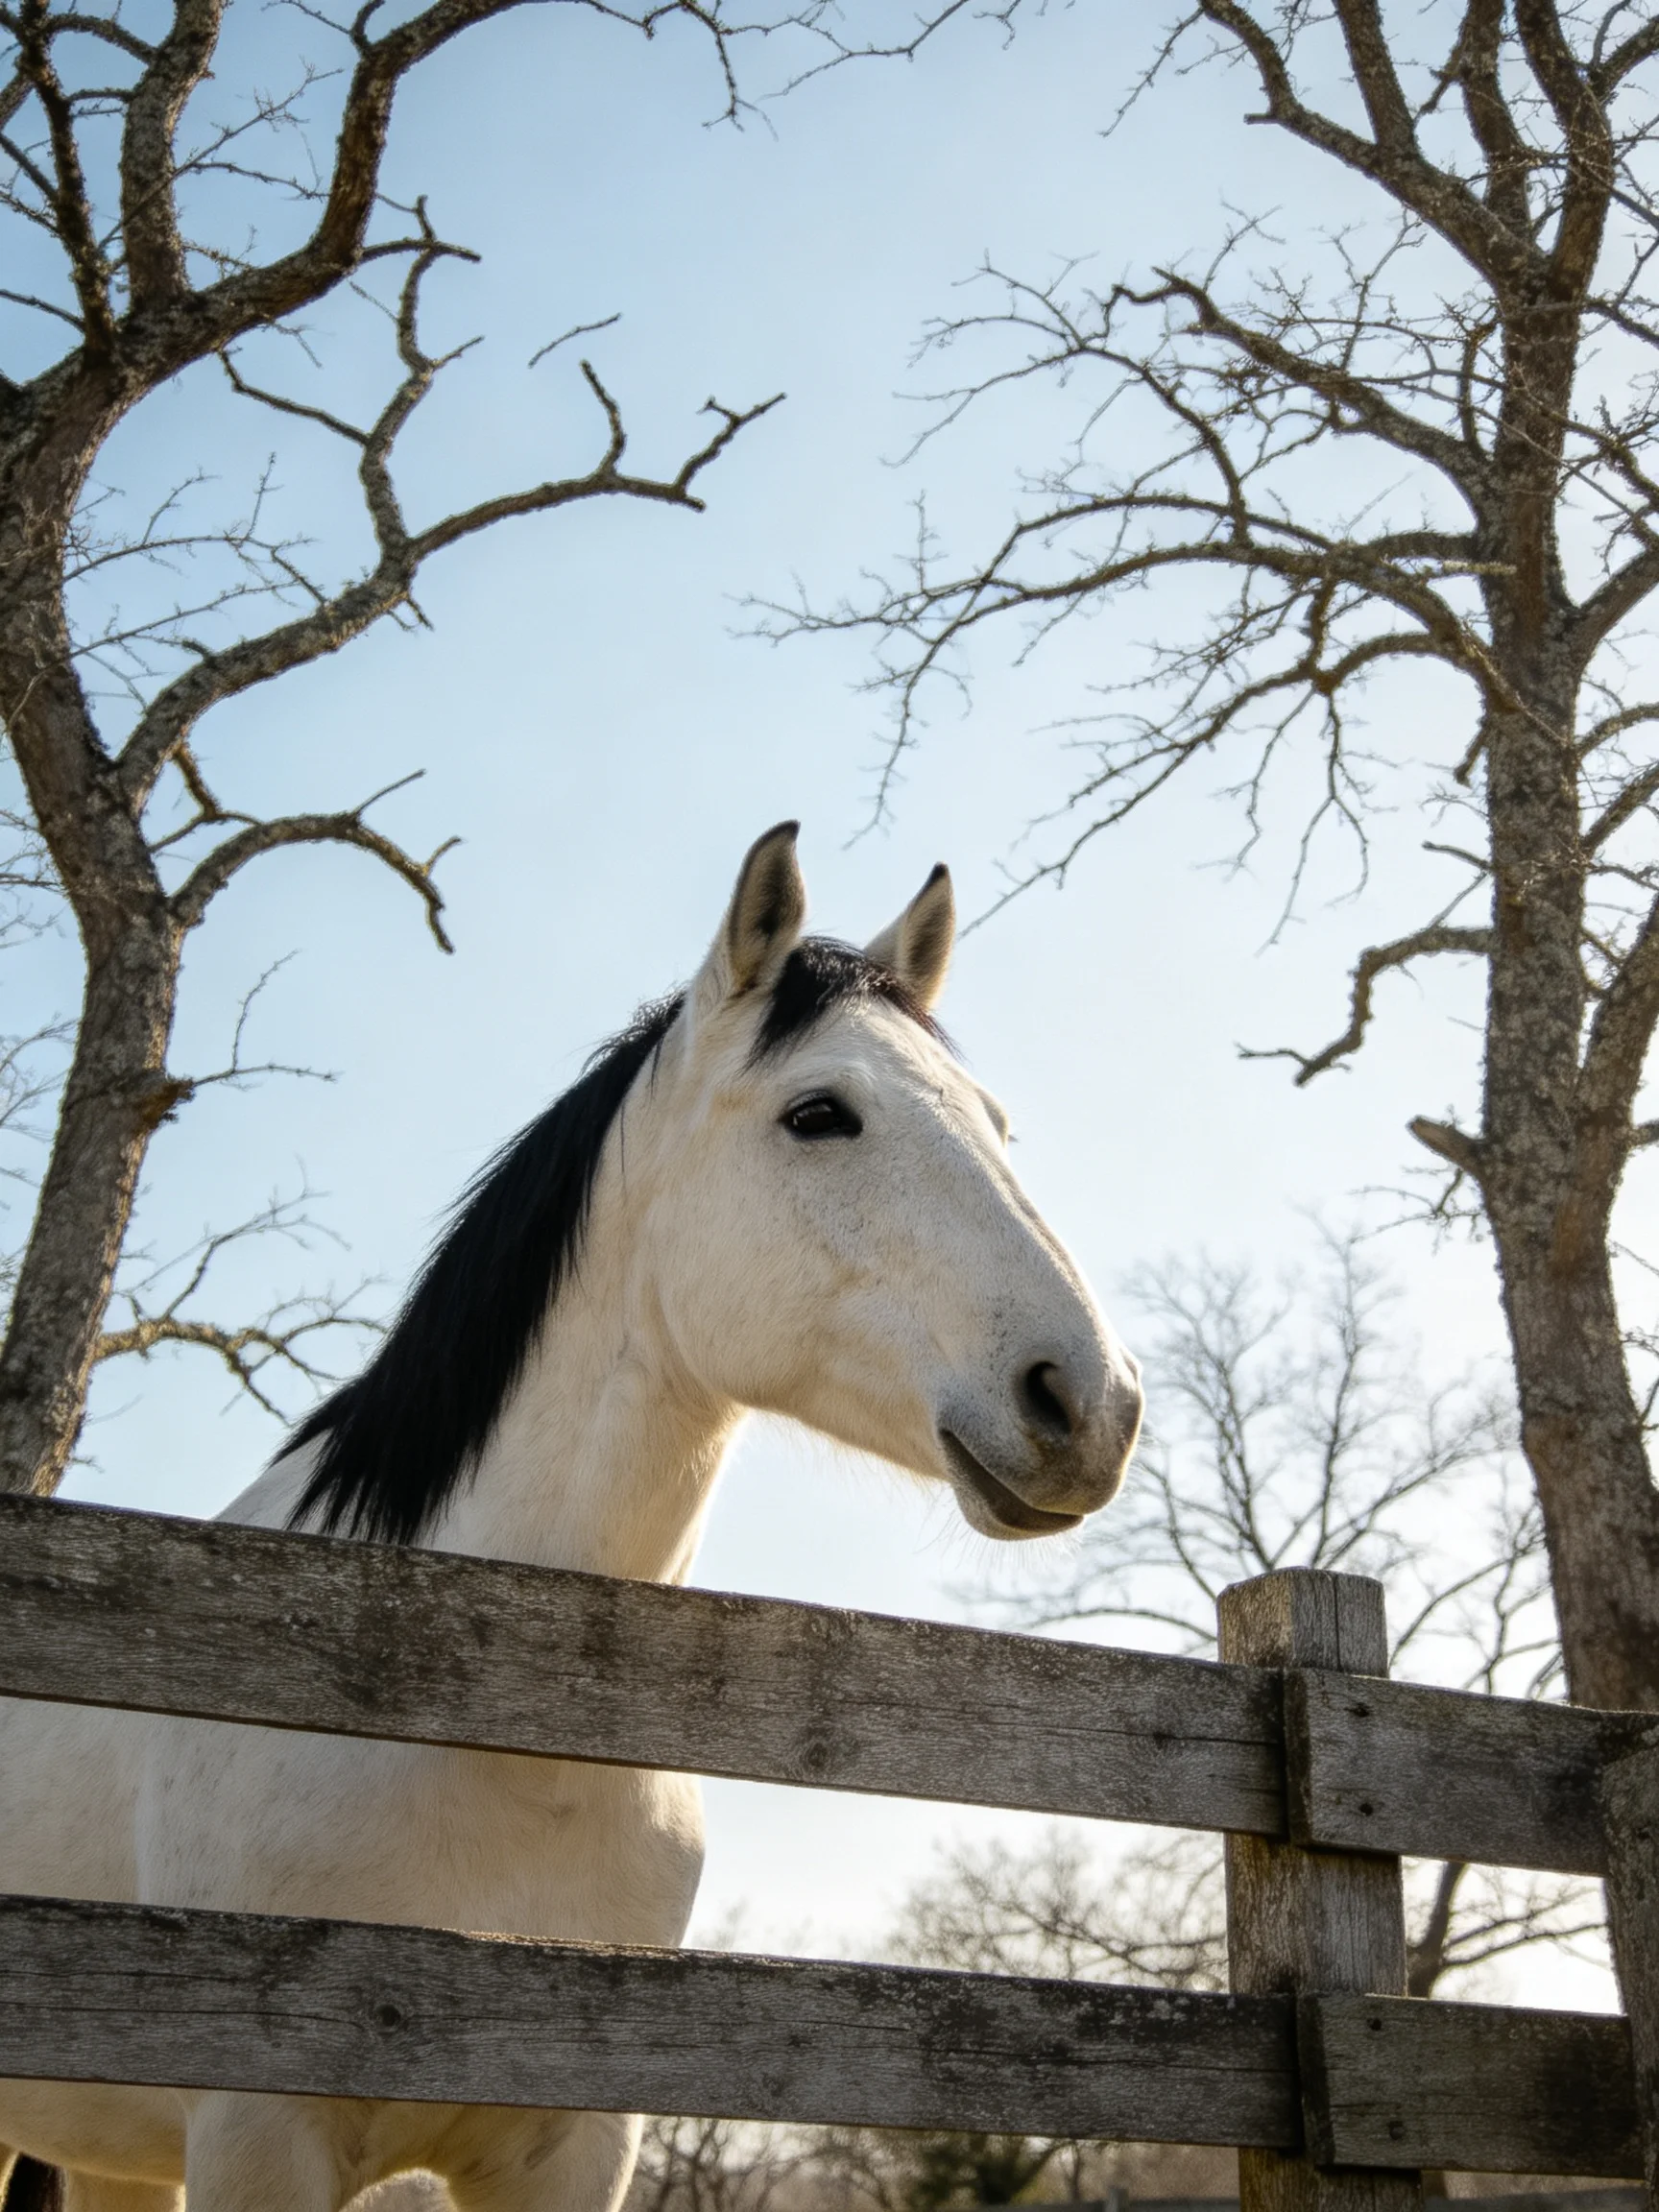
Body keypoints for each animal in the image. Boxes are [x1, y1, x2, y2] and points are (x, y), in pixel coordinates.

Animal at [0, 823, 1144, 2212]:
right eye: (820, 1114)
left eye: (997, 1125)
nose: (1090, 1405)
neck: (488, 1725)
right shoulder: (257, 2134)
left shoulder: (578, 2138)